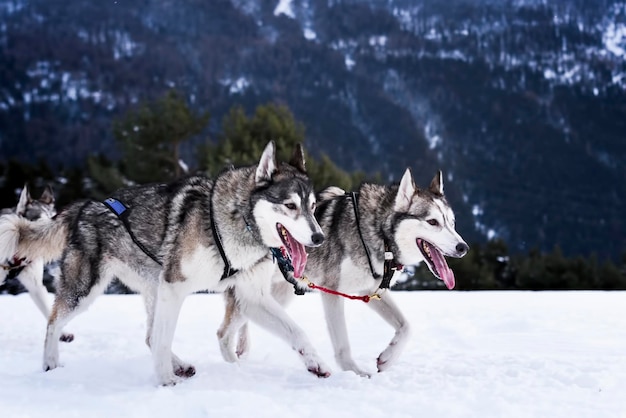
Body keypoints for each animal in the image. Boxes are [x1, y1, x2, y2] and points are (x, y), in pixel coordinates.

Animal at [217, 168, 466, 378]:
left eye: (452, 223)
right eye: (432, 222)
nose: (463, 247)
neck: (378, 232)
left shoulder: (370, 291)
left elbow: (406, 327)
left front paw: (388, 358)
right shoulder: (332, 292)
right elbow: (343, 344)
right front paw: (354, 372)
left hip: (279, 293)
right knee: (224, 333)